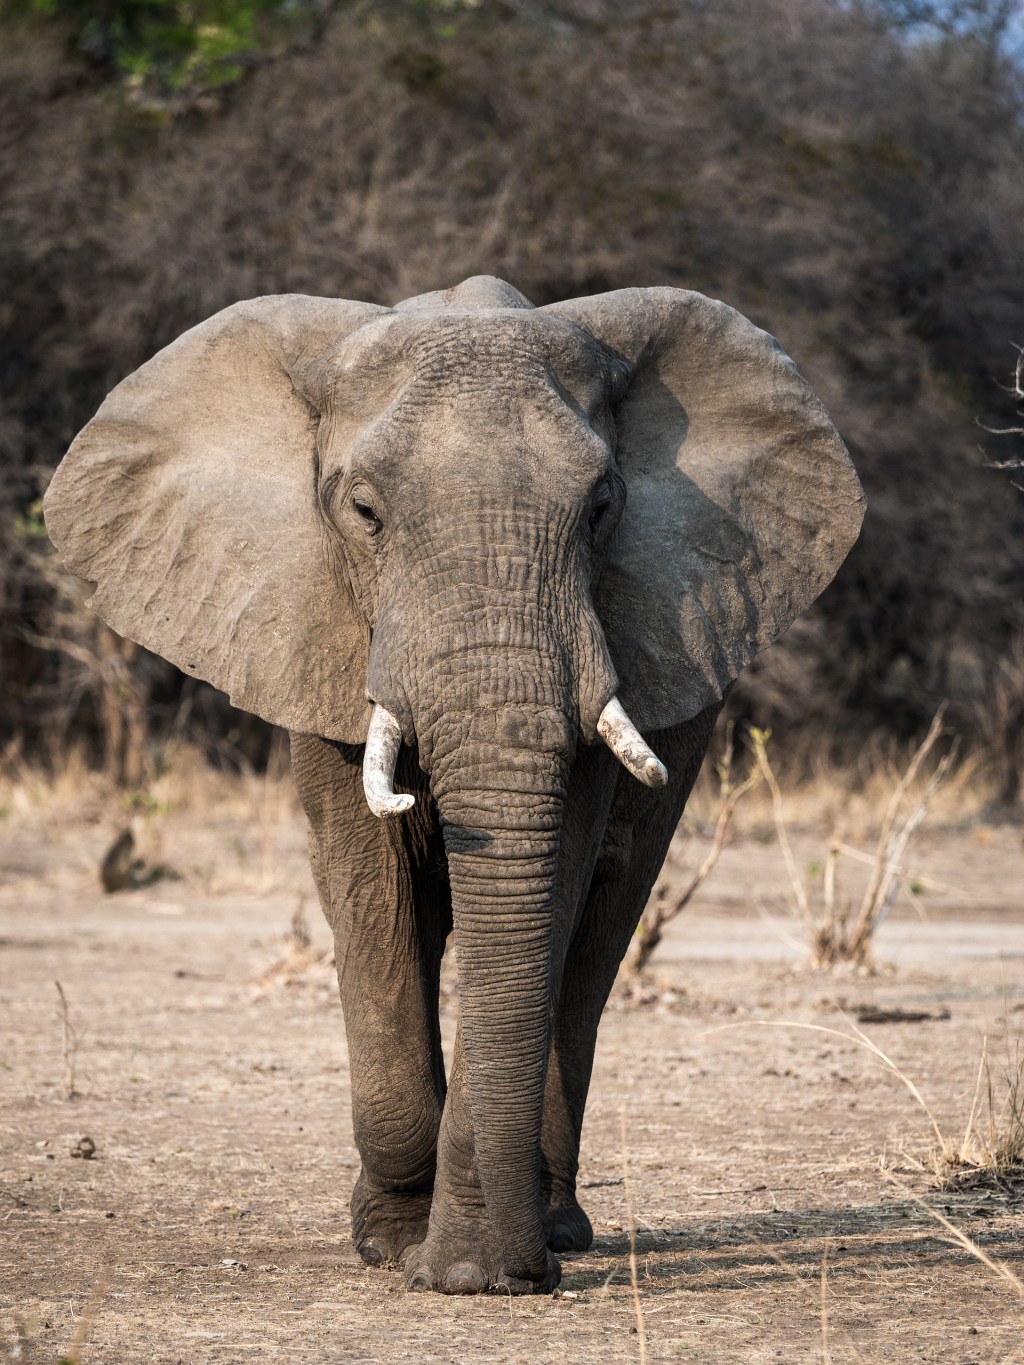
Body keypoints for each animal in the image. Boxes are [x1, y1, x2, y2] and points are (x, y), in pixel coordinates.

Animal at [44, 275, 864, 1296]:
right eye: (363, 512)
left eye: (602, 506)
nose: (509, 1276)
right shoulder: (315, 631)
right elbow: (373, 894)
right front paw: (398, 1245)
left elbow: (545, 893)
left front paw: (471, 1267)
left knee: (598, 938)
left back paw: (557, 1225)